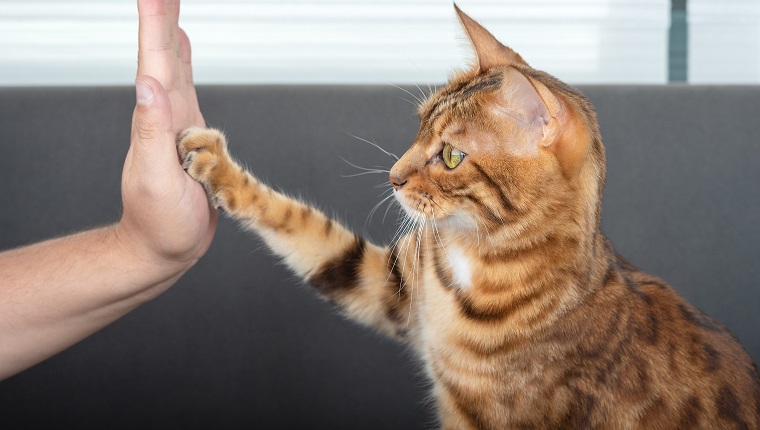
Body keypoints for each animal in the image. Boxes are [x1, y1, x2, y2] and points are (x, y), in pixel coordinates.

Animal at [178, 5, 760, 428]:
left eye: (452, 156)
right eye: (418, 126)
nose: (393, 177)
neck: (476, 256)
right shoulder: (391, 288)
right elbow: (306, 229)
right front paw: (215, 163)